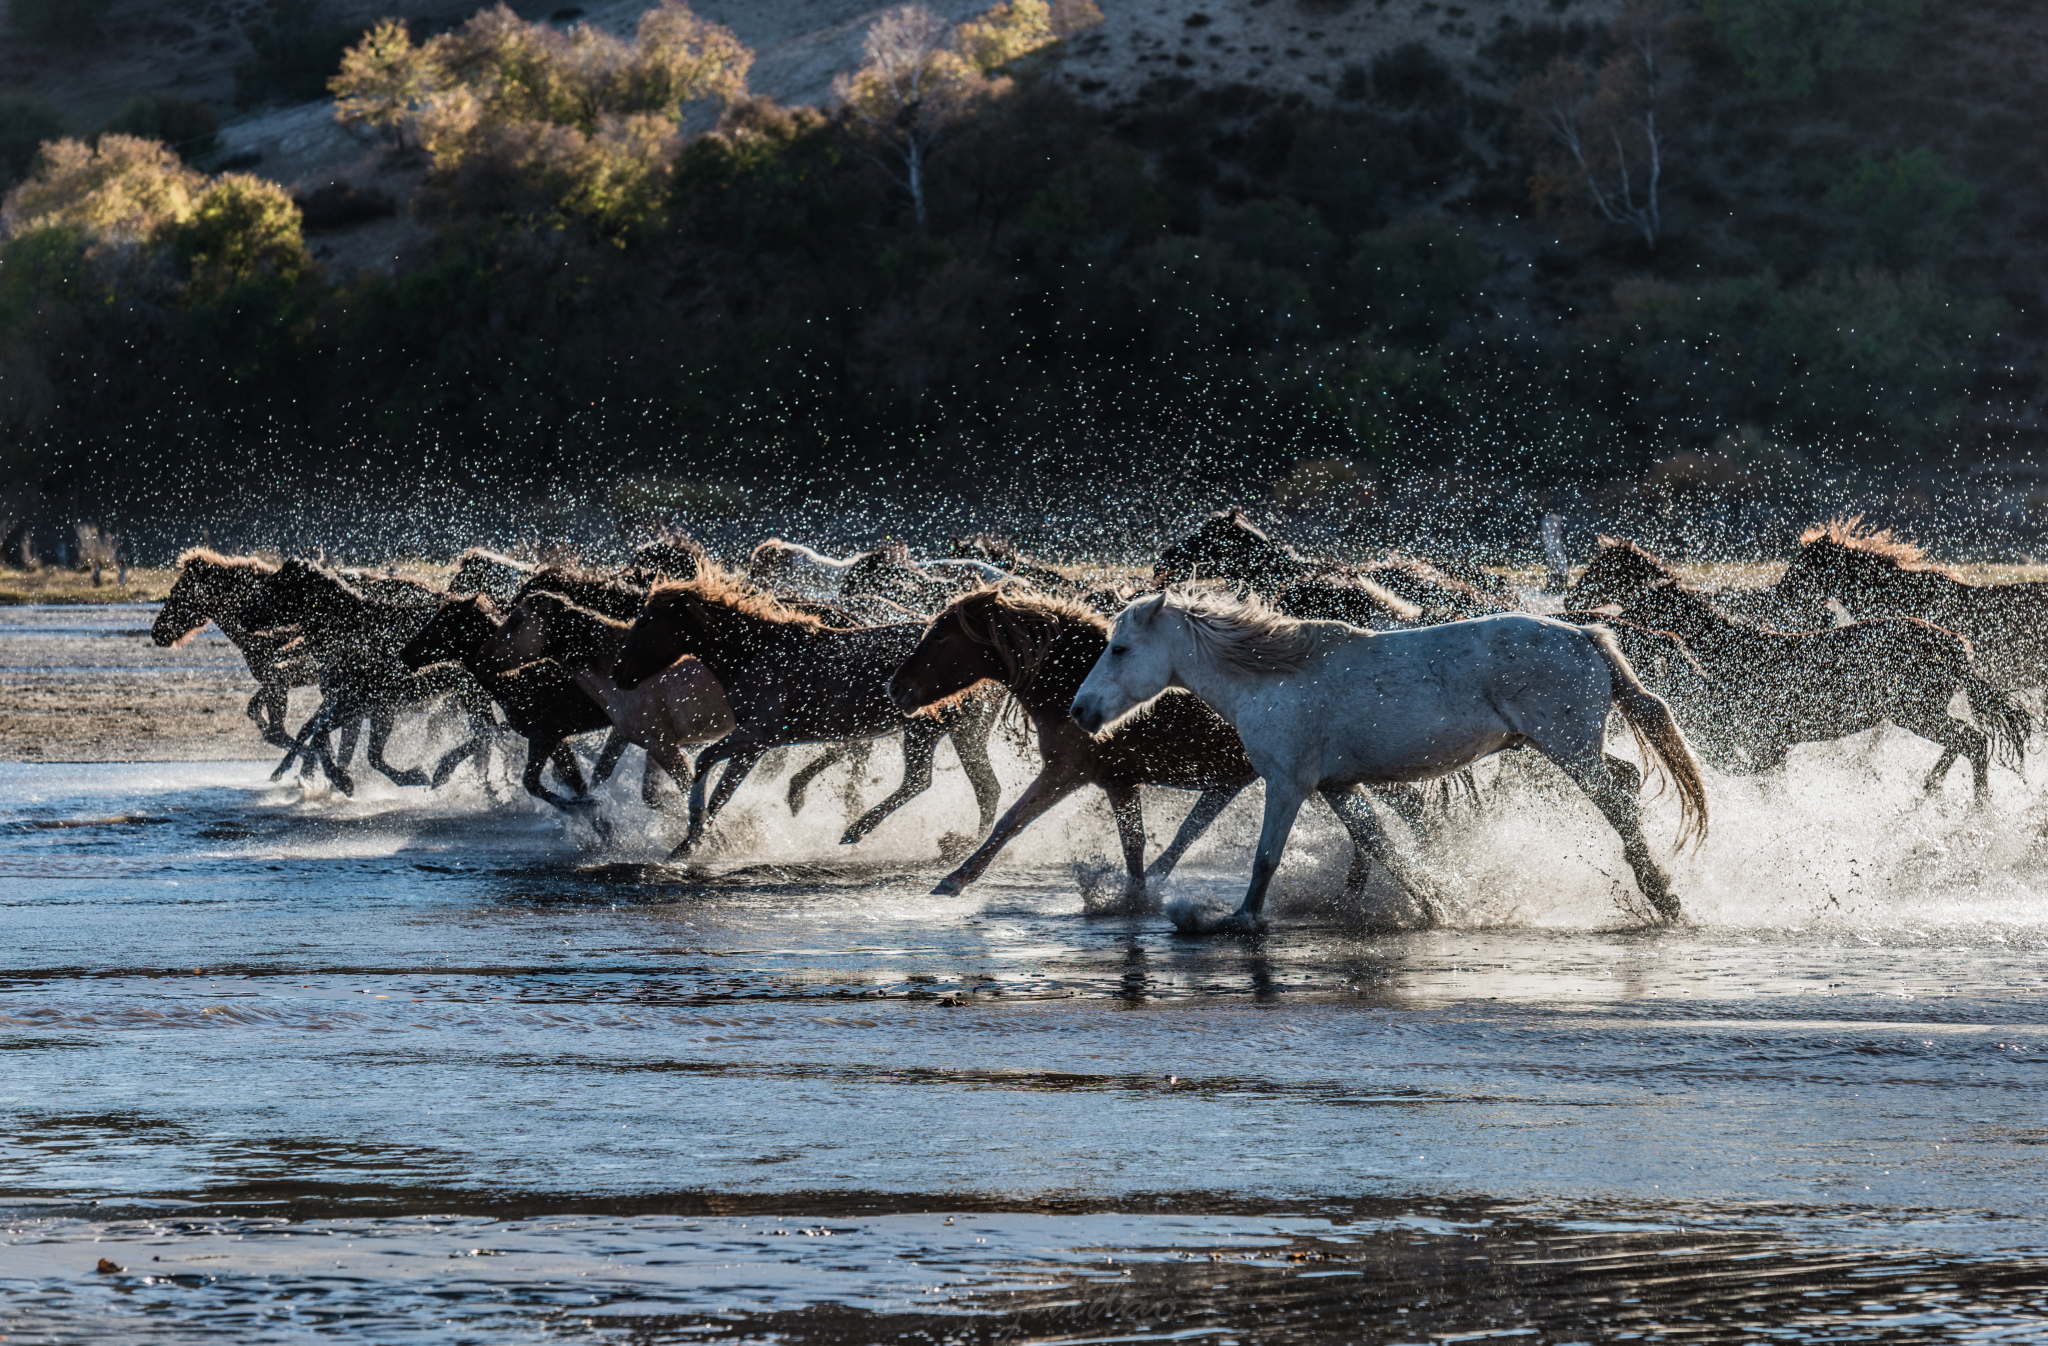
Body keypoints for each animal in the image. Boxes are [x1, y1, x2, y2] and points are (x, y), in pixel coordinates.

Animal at [602, 561, 1003, 856]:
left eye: (647, 622)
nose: (618, 673)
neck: (754, 653)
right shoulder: (753, 746)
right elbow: (722, 791)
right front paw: (693, 842)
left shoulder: (756, 736)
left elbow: (704, 766)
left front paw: (692, 835)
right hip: (963, 732)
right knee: (987, 789)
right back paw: (964, 846)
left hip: (924, 728)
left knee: (921, 781)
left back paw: (856, 830)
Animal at [1064, 590, 1703, 934]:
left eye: (1119, 648)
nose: (1080, 710)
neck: (1269, 679)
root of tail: (1585, 635)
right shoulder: (1339, 787)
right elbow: (1384, 848)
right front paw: (1438, 906)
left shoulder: (1287, 783)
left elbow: (1265, 859)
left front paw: (1237, 921)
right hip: (1557, 746)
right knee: (1627, 781)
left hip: (1568, 749)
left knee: (1620, 802)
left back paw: (1664, 897)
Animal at [1564, 536, 2031, 790]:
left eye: (1600, 568)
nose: (1570, 603)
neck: (1723, 648)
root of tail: (1959, 647)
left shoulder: (1762, 739)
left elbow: (1758, 775)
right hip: (1920, 713)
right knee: (1969, 742)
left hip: (1915, 712)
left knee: (1974, 742)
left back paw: (1975, 812)